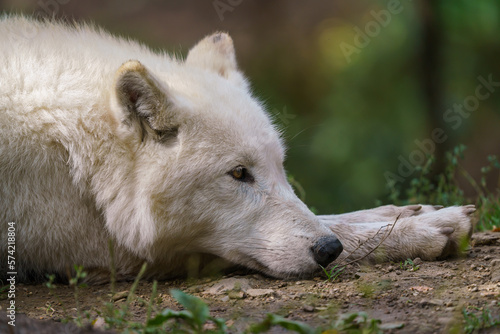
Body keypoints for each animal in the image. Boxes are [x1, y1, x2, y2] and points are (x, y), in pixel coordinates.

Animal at [0, 15, 474, 282]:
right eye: (238, 174)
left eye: (280, 168)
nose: (328, 251)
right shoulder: (112, 253)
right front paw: (421, 229)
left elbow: (327, 216)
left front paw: (407, 213)